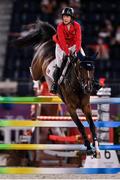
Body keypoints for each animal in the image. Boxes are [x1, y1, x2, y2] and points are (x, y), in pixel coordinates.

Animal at [13, 19, 100, 158]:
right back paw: (36, 84)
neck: (77, 86)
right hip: (37, 68)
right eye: (81, 68)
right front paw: (88, 148)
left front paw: (96, 148)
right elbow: (81, 126)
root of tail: (50, 40)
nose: (88, 88)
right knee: (33, 73)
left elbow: (92, 125)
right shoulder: (71, 108)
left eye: (93, 69)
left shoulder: (86, 106)